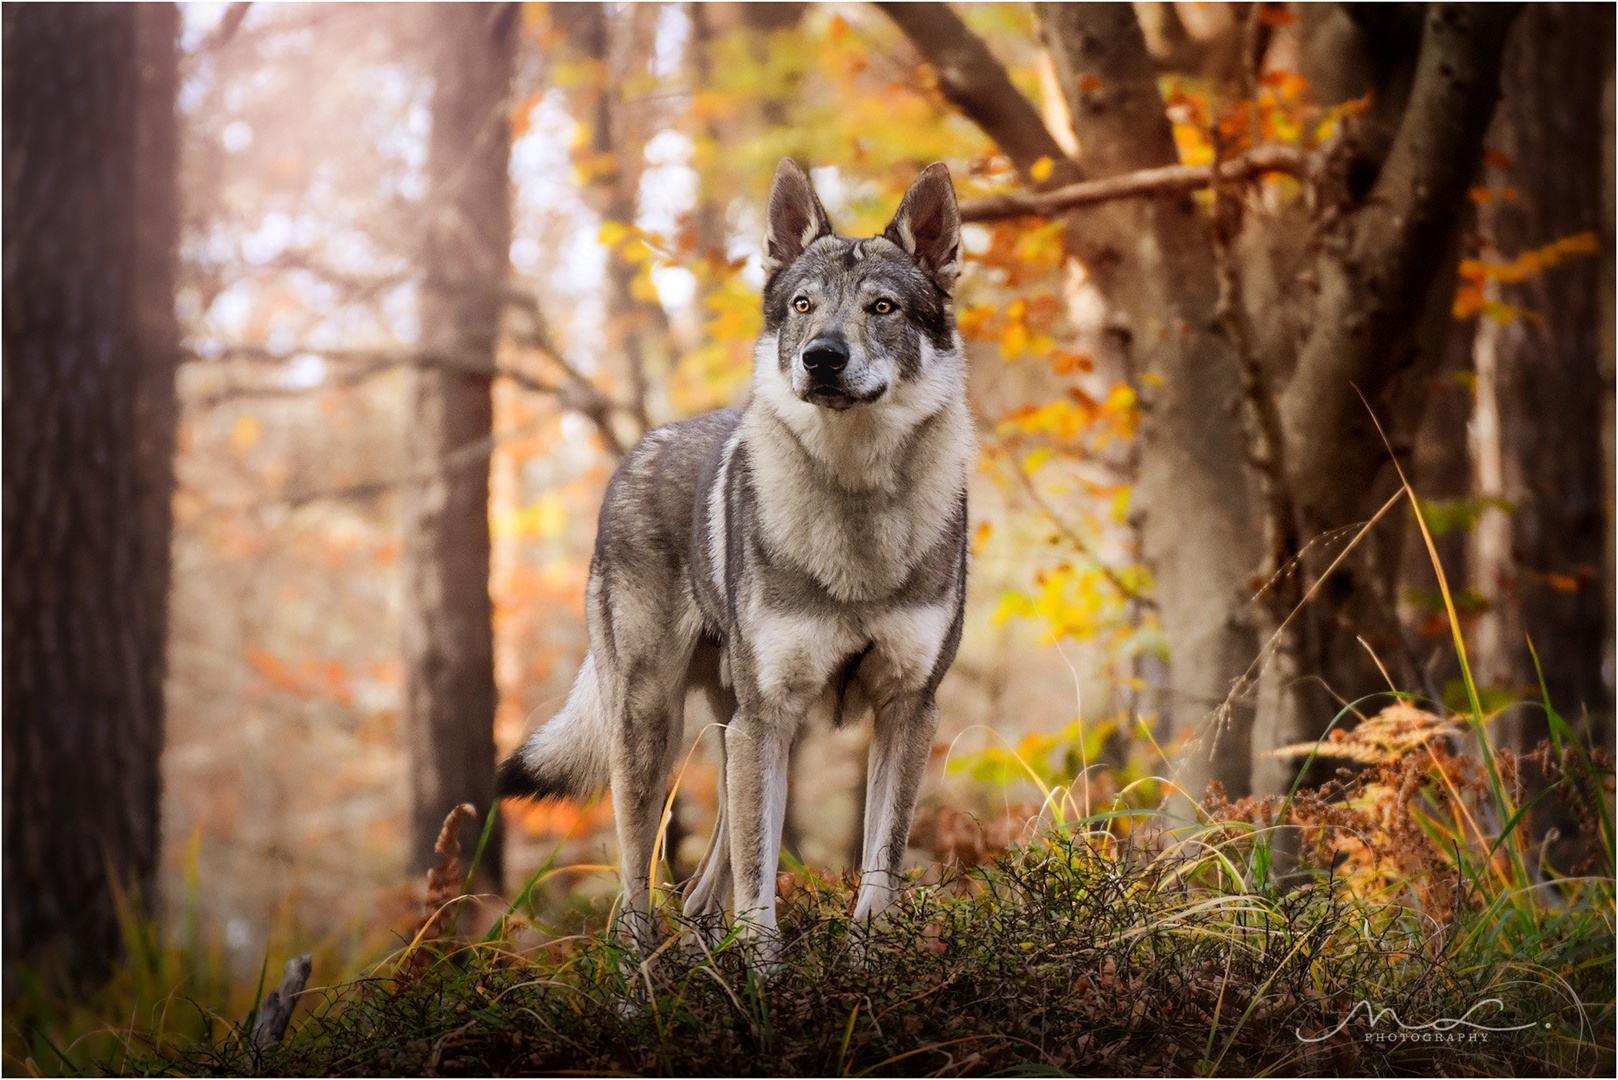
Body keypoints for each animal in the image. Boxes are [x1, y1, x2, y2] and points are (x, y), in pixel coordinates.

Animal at [496, 159, 972, 956]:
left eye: (882, 307)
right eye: (804, 305)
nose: (821, 357)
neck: (855, 504)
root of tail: (638, 450)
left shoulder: (909, 711)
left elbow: (878, 871)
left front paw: (866, 970)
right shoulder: (771, 714)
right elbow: (759, 890)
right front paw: (767, 976)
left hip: (739, 733)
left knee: (699, 890)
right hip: (659, 733)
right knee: (637, 899)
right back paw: (646, 982)